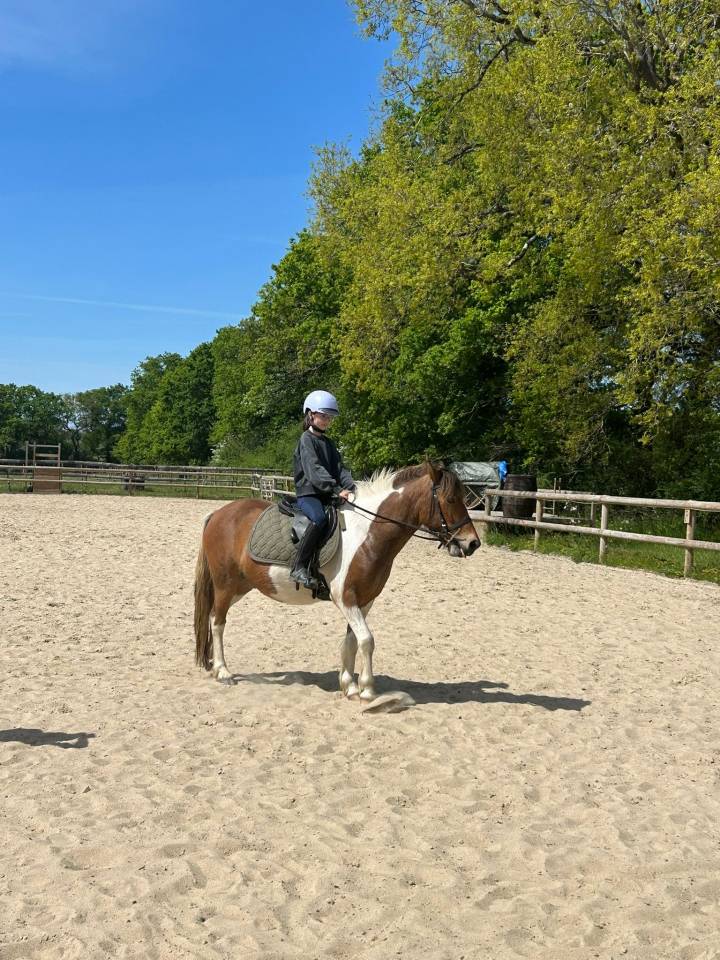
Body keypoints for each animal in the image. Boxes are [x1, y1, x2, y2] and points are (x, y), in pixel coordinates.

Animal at [193, 461, 480, 701]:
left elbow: (352, 641)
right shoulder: (346, 598)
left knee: (215, 618)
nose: (472, 543)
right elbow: (367, 640)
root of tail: (218, 513)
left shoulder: (364, 600)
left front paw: (349, 685)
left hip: (240, 586)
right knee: (217, 623)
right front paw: (367, 690)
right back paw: (224, 672)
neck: (368, 535)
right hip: (225, 585)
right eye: (451, 499)